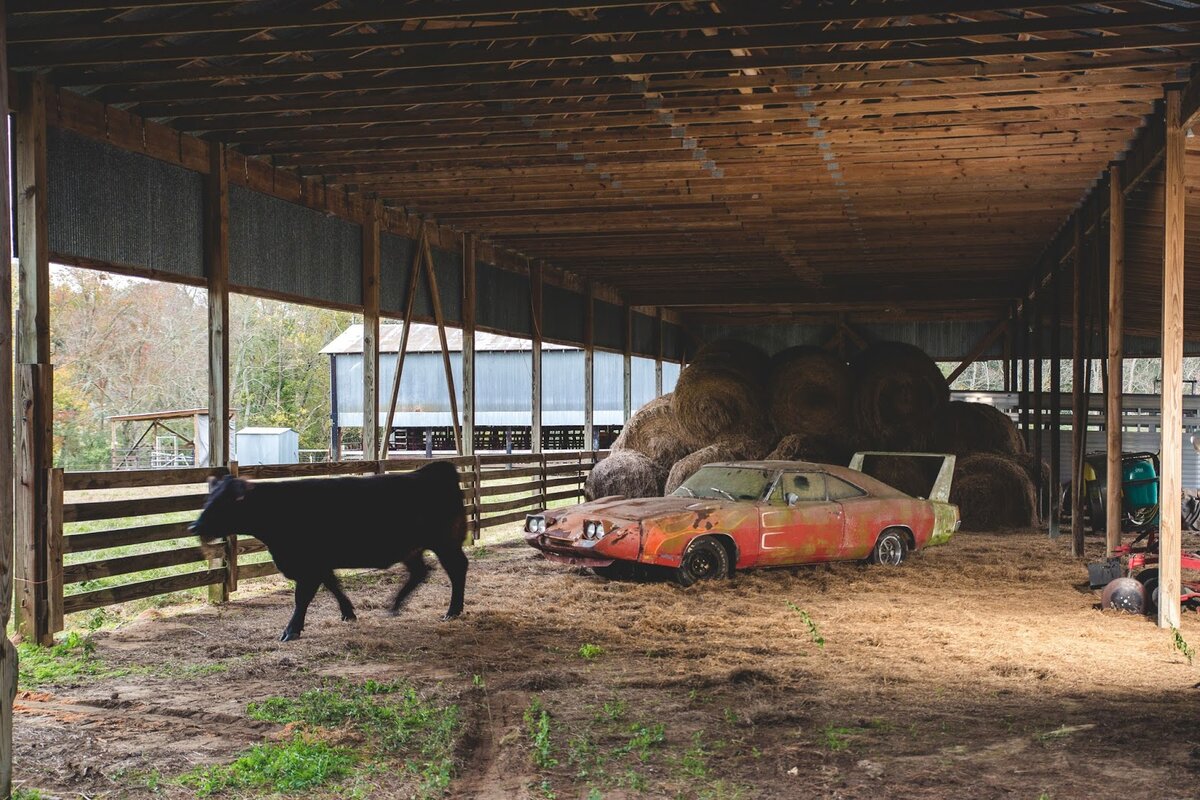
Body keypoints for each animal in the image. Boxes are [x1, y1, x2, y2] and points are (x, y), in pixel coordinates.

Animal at [189, 460, 465, 642]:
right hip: (412, 549)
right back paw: (396, 604)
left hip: (445, 543)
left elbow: (302, 598)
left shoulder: (309, 565)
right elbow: (334, 586)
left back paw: (453, 611)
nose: (194, 526)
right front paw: (348, 613)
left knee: (457, 570)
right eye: (208, 499)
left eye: (222, 503)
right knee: (420, 572)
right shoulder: (319, 564)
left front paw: (291, 630)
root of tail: (432, 470)